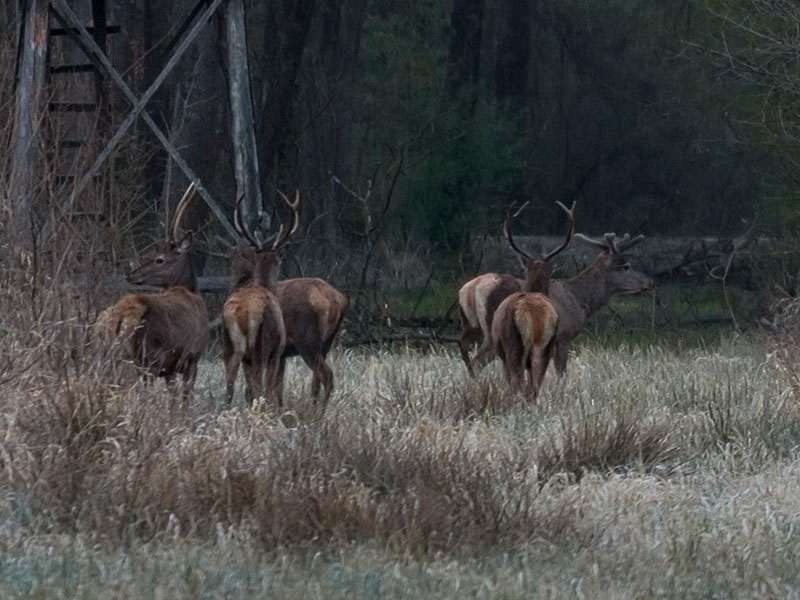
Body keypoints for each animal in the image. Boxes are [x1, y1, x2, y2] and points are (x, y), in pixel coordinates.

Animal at [99, 180, 209, 400]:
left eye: (159, 259)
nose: (131, 275)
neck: (191, 291)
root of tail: (124, 314)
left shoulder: (170, 369)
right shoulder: (193, 357)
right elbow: (185, 398)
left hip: (113, 352)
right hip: (150, 356)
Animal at [220, 192, 298, 408]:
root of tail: (241, 313)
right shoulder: (276, 352)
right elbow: (269, 388)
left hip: (229, 347)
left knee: (230, 385)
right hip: (260, 347)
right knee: (260, 388)